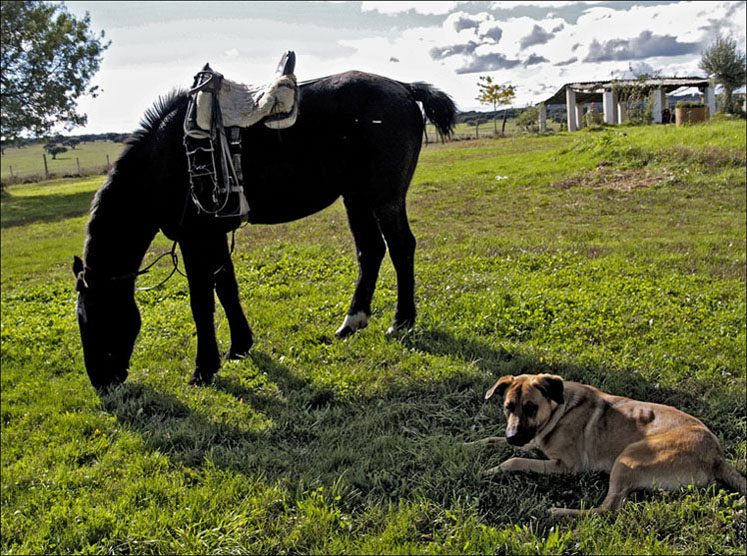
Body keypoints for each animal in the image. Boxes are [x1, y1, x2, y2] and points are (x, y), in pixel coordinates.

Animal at [74, 67, 456, 388]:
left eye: (94, 318)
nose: (101, 383)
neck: (168, 158)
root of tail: (403, 87)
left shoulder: (195, 238)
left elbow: (202, 302)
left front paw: (204, 368)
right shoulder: (213, 236)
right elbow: (226, 288)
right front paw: (240, 346)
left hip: (384, 197)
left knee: (401, 247)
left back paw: (402, 321)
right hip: (356, 197)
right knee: (371, 250)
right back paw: (352, 322)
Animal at [468, 374, 747, 516]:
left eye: (531, 408)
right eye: (508, 407)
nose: (513, 437)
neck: (559, 410)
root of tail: (717, 457)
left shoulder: (565, 465)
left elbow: (513, 460)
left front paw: (489, 470)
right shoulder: (530, 442)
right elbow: (491, 440)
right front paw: (464, 445)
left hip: (627, 457)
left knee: (607, 510)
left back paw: (559, 511)